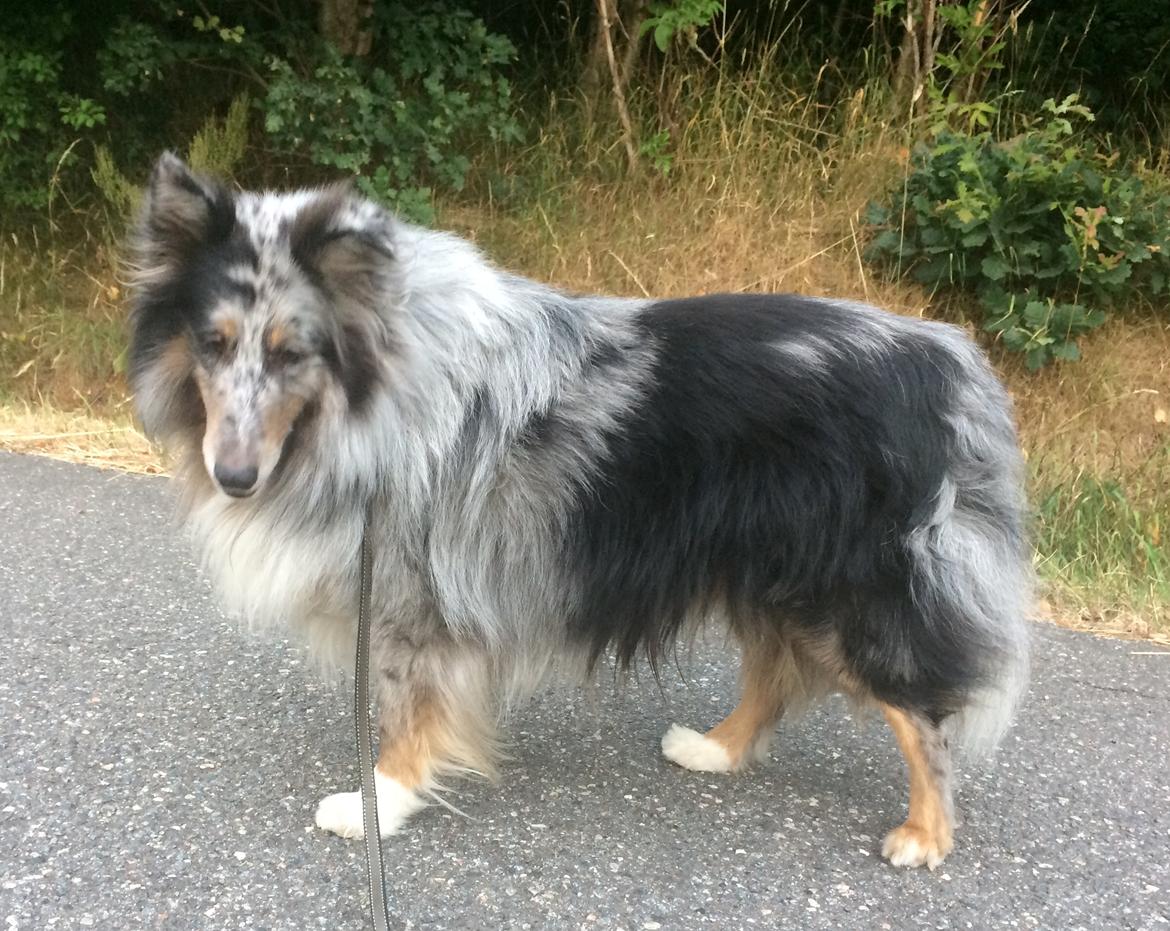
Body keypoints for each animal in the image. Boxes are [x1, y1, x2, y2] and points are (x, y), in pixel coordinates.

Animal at [130, 154, 1034, 874]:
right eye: (213, 344)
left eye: (293, 353)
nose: (234, 477)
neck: (374, 393)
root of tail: (952, 366)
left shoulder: (414, 598)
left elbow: (404, 712)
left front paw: (375, 803)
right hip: (769, 567)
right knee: (776, 671)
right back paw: (714, 749)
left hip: (848, 588)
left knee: (921, 715)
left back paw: (925, 833)